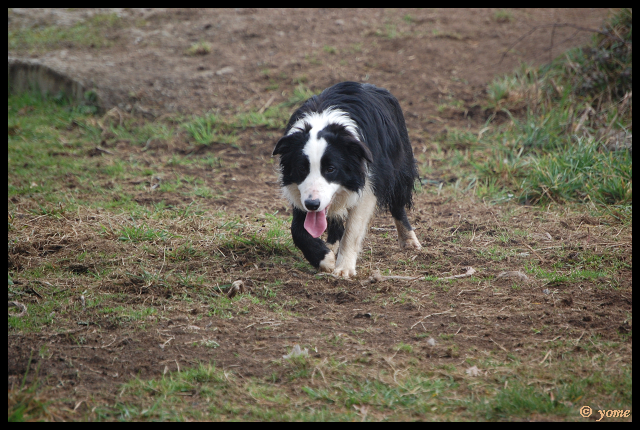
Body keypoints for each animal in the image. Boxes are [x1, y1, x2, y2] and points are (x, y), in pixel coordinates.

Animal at [274, 82, 420, 278]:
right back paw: (331, 245)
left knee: (397, 201)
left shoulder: (368, 182)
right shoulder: (300, 191)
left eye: (330, 169)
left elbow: (353, 229)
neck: (322, 122)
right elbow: (298, 228)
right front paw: (325, 259)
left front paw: (343, 269)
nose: (312, 204)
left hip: (399, 161)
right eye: (301, 168)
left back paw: (409, 240)